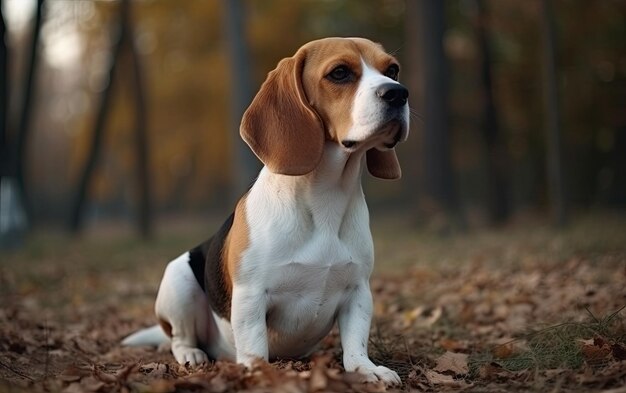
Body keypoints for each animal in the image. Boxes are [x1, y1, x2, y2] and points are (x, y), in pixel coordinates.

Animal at [122, 36, 410, 382]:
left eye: (392, 70)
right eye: (339, 73)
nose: (398, 93)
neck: (326, 197)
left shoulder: (358, 291)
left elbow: (355, 343)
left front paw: (366, 370)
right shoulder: (251, 294)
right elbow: (255, 345)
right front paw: (259, 372)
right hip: (179, 281)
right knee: (179, 339)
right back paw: (193, 353)